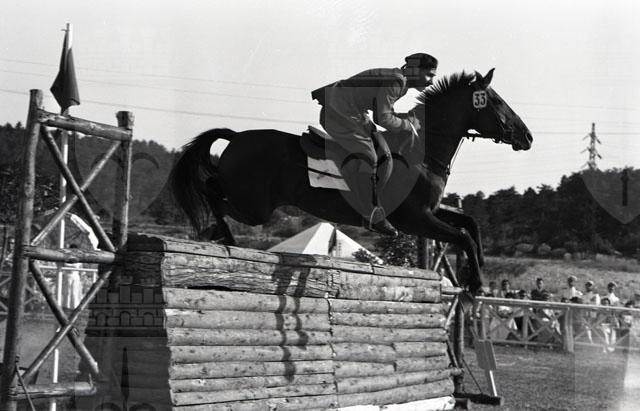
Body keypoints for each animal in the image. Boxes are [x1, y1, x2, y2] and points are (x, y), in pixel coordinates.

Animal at [170, 69, 533, 293]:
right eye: (497, 101)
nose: (527, 137)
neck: (423, 151)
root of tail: (237, 136)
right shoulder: (416, 219)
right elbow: (462, 236)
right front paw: (476, 283)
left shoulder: (429, 212)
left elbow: (470, 223)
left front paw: (479, 265)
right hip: (254, 206)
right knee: (212, 192)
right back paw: (223, 234)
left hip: (250, 202)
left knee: (214, 192)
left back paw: (217, 233)